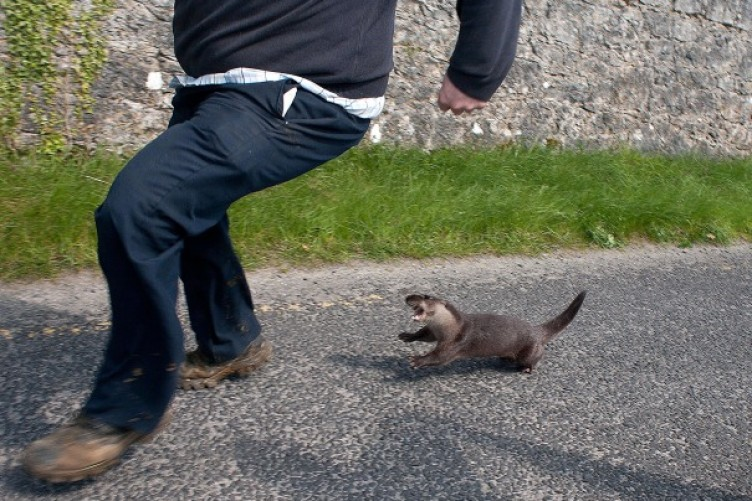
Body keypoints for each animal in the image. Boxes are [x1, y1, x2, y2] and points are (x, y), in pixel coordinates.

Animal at [400, 290, 588, 372]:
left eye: (426, 297)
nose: (408, 297)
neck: (448, 328)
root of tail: (536, 330)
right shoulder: (434, 332)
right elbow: (424, 335)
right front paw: (407, 335)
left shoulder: (457, 341)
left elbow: (439, 357)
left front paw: (417, 360)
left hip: (530, 350)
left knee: (534, 359)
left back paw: (526, 369)